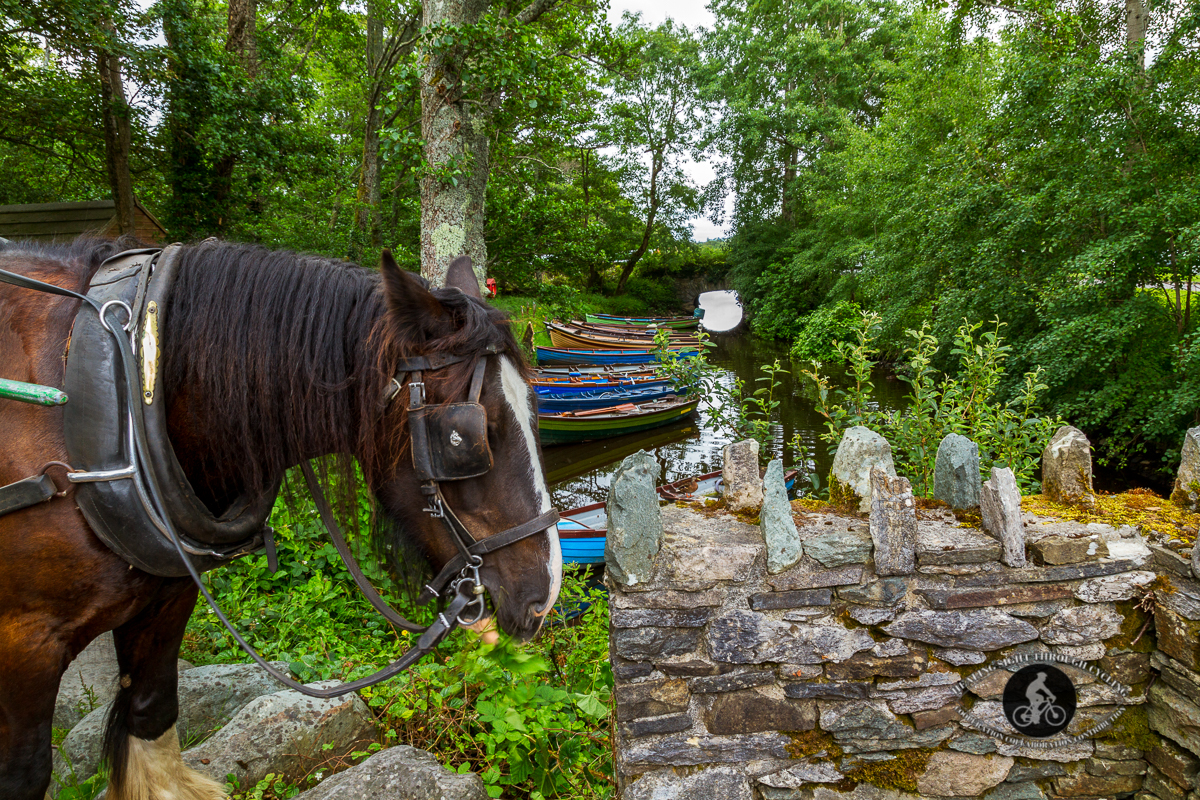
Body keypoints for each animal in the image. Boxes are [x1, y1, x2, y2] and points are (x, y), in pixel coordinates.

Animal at [0, 237, 559, 800]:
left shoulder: (166, 596)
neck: (131, 385)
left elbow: (151, 711)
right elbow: (24, 773)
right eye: (465, 438)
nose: (546, 596)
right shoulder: (26, 641)